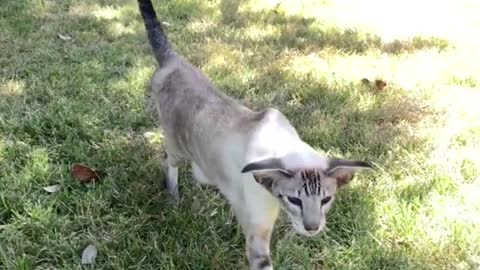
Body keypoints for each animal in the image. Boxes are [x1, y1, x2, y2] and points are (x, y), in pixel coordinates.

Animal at [137, 1, 374, 268]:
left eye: (326, 200)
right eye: (294, 200)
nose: (312, 228)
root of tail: (172, 61)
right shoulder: (258, 230)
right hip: (177, 147)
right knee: (170, 161)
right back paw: (173, 196)